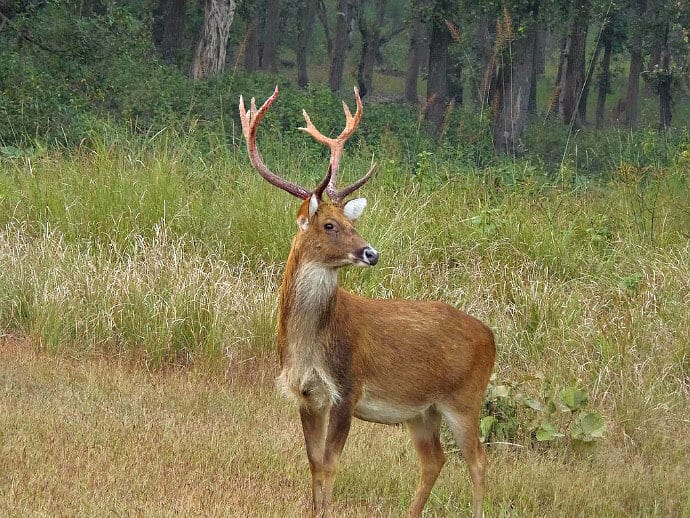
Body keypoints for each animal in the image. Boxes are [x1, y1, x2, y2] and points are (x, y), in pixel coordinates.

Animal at [238, 87, 494, 516]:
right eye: (330, 225)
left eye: (352, 223)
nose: (370, 253)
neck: (311, 343)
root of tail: (491, 337)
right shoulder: (307, 394)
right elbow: (313, 462)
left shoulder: (348, 386)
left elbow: (330, 464)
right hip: (422, 410)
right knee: (435, 459)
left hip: (465, 398)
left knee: (477, 460)